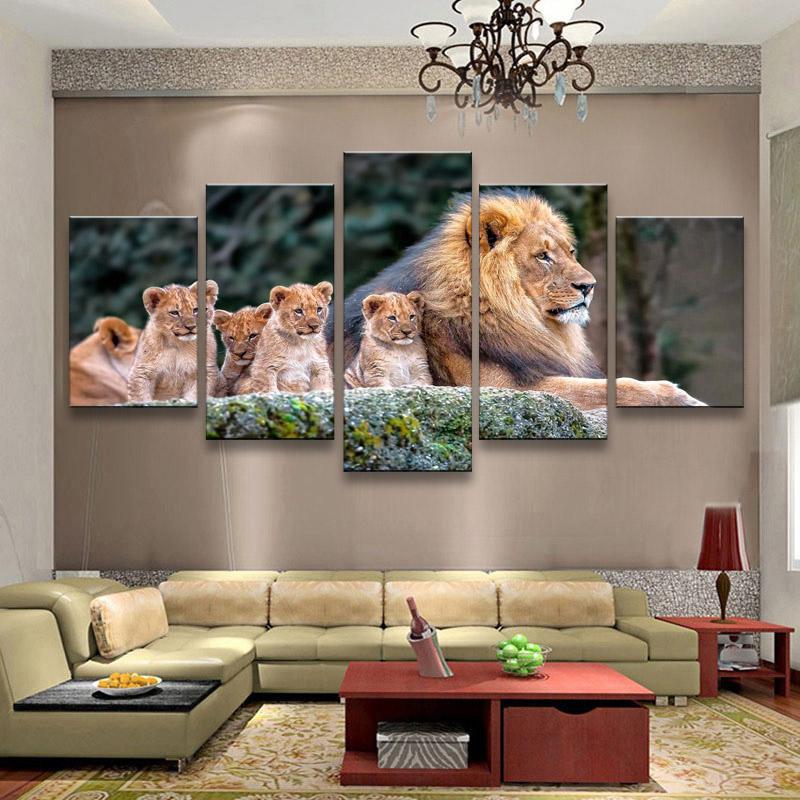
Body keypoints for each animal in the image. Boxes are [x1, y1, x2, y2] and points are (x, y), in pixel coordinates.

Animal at [340, 190, 704, 409]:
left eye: (571, 252)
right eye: (543, 256)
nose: (590, 286)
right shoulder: (504, 389)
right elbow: (603, 387)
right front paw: (677, 395)